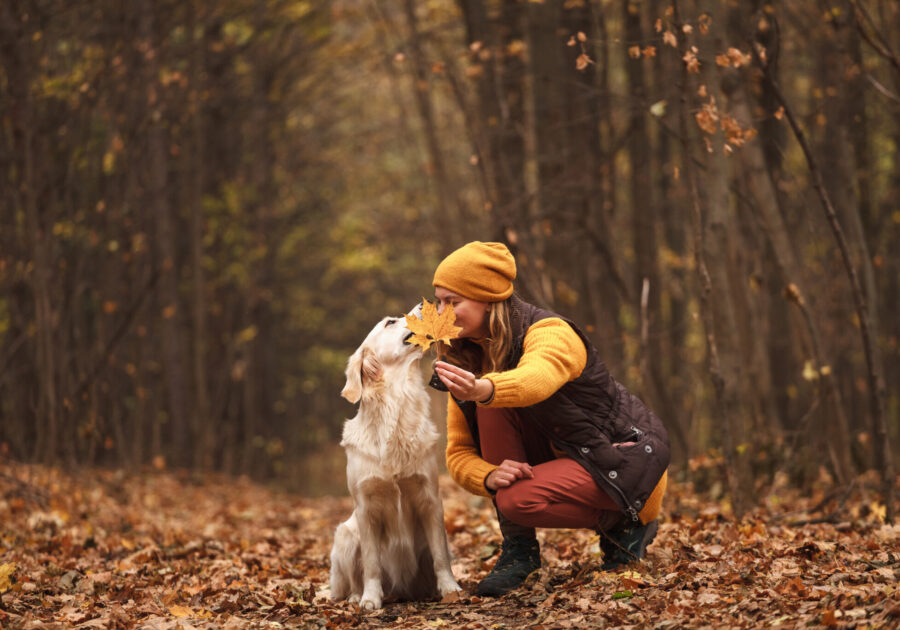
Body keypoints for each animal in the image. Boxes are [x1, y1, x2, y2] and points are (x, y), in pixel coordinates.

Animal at [328, 314, 460, 612]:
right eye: (390, 322)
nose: (423, 305)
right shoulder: (365, 508)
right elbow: (371, 563)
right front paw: (370, 598)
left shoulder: (430, 498)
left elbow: (440, 555)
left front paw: (450, 588)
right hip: (345, 535)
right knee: (352, 578)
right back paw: (356, 596)